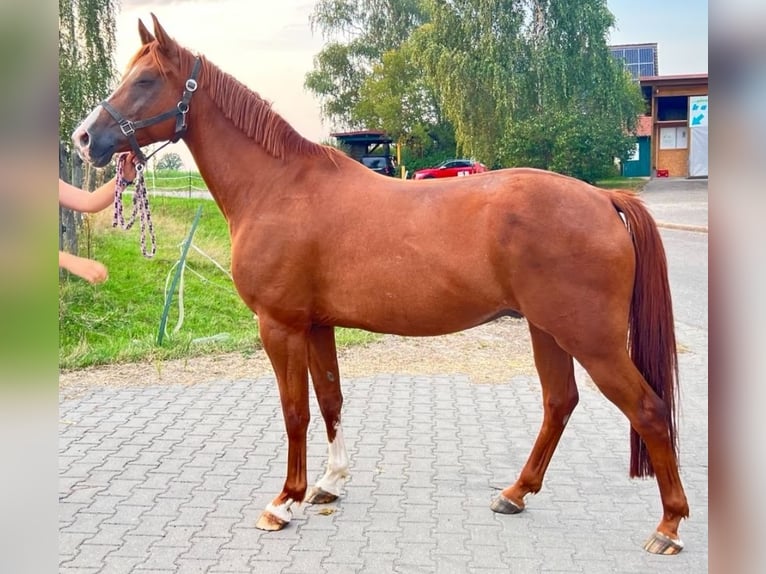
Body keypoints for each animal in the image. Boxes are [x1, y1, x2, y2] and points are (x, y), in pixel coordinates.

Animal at [75, 12, 692, 552]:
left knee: (648, 409)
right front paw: (330, 485)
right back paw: (515, 493)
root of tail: (603, 199)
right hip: (548, 330)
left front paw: (284, 501)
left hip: (592, 338)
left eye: (145, 80)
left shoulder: (279, 326)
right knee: (560, 402)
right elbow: (329, 400)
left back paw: (668, 527)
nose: (84, 139)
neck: (278, 188)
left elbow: (294, 411)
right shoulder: (316, 325)